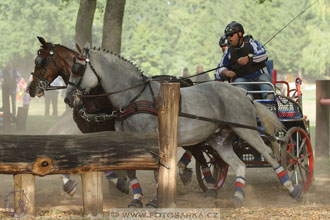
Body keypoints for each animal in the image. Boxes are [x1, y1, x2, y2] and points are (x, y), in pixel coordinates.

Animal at [63, 45, 302, 207]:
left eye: (77, 68)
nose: (68, 98)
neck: (135, 97)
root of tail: (243, 94)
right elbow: (131, 170)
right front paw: (137, 198)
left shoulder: (155, 141)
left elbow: (157, 172)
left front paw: (156, 200)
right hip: (219, 140)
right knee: (240, 165)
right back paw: (237, 196)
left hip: (246, 130)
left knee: (270, 156)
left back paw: (293, 189)